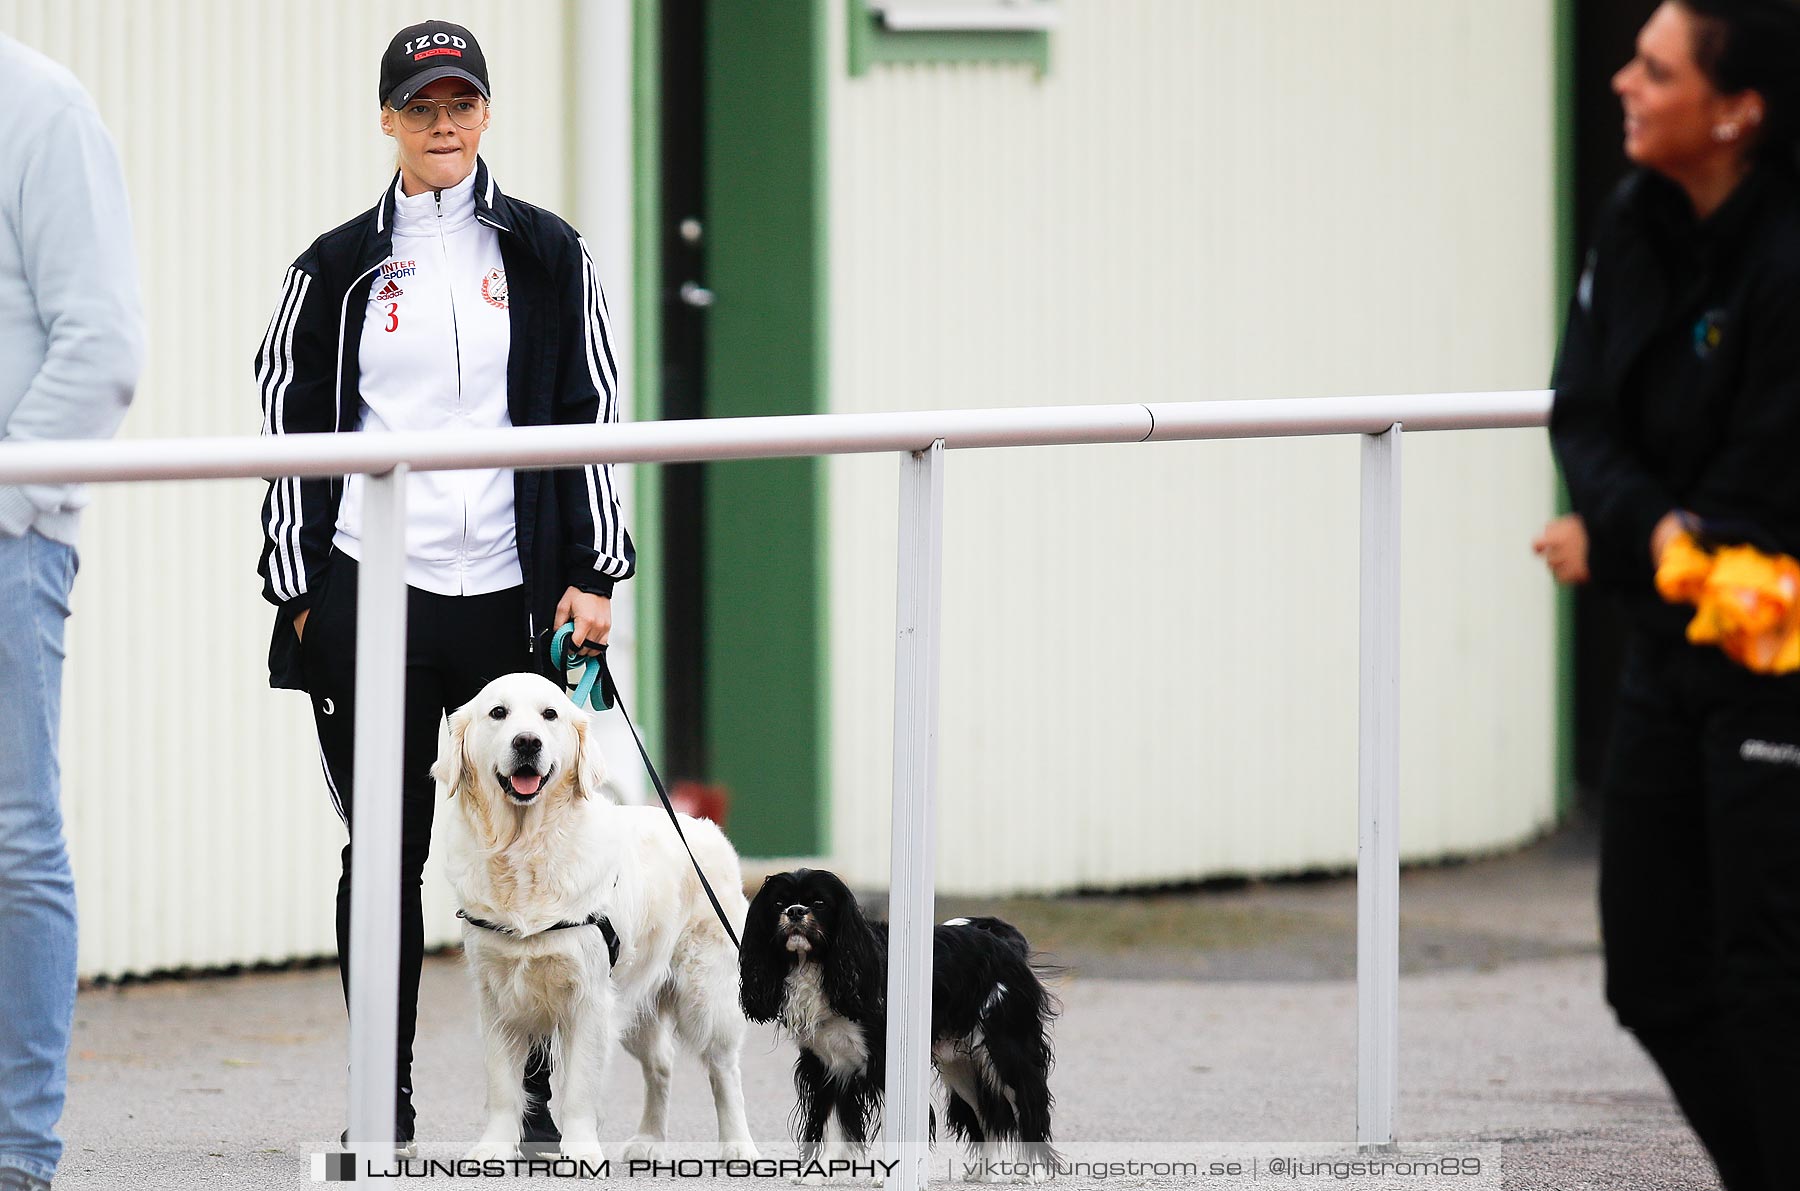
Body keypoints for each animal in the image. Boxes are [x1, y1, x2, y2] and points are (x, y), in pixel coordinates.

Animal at [741, 874, 1058, 1173]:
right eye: (778, 904)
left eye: (819, 903)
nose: (795, 911)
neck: (817, 965)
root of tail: (1005, 944)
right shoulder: (826, 1063)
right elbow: (832, 1124)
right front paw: (818, 1174)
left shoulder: (883, 1063)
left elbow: (889, 1125)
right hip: (960, 1067)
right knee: (988, 1114)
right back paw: (984, 1172)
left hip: (1007, 1050)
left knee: (1026, 1103)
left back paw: (1034, 1171)